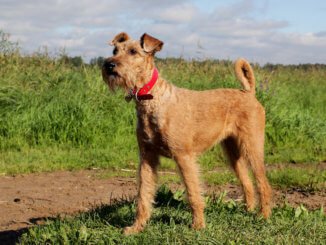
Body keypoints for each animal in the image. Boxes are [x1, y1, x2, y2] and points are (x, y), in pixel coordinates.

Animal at [102, 32, 272, 234]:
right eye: (114, 50)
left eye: (133, 51)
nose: (109, 65)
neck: (152, 100)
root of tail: (249, 93)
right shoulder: (146, 157)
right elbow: (143, 194)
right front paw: (136, 227)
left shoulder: (184, 156)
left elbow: (193, 193)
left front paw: (198, 225)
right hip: (233, 152)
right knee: (247, 182)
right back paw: (249, 209)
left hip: (252, 147)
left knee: (263, 183)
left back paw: (263, 216)